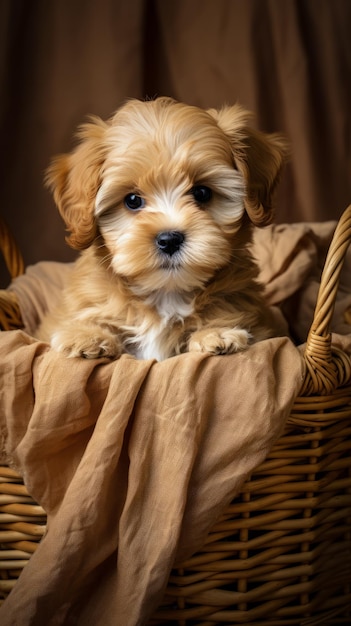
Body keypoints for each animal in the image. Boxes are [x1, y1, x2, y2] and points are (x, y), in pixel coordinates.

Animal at [36, 95, 288, 358]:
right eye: (132, 200)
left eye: (202, 193)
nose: (169, 240)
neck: (166, 294)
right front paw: (87, 336)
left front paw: (217, 332)